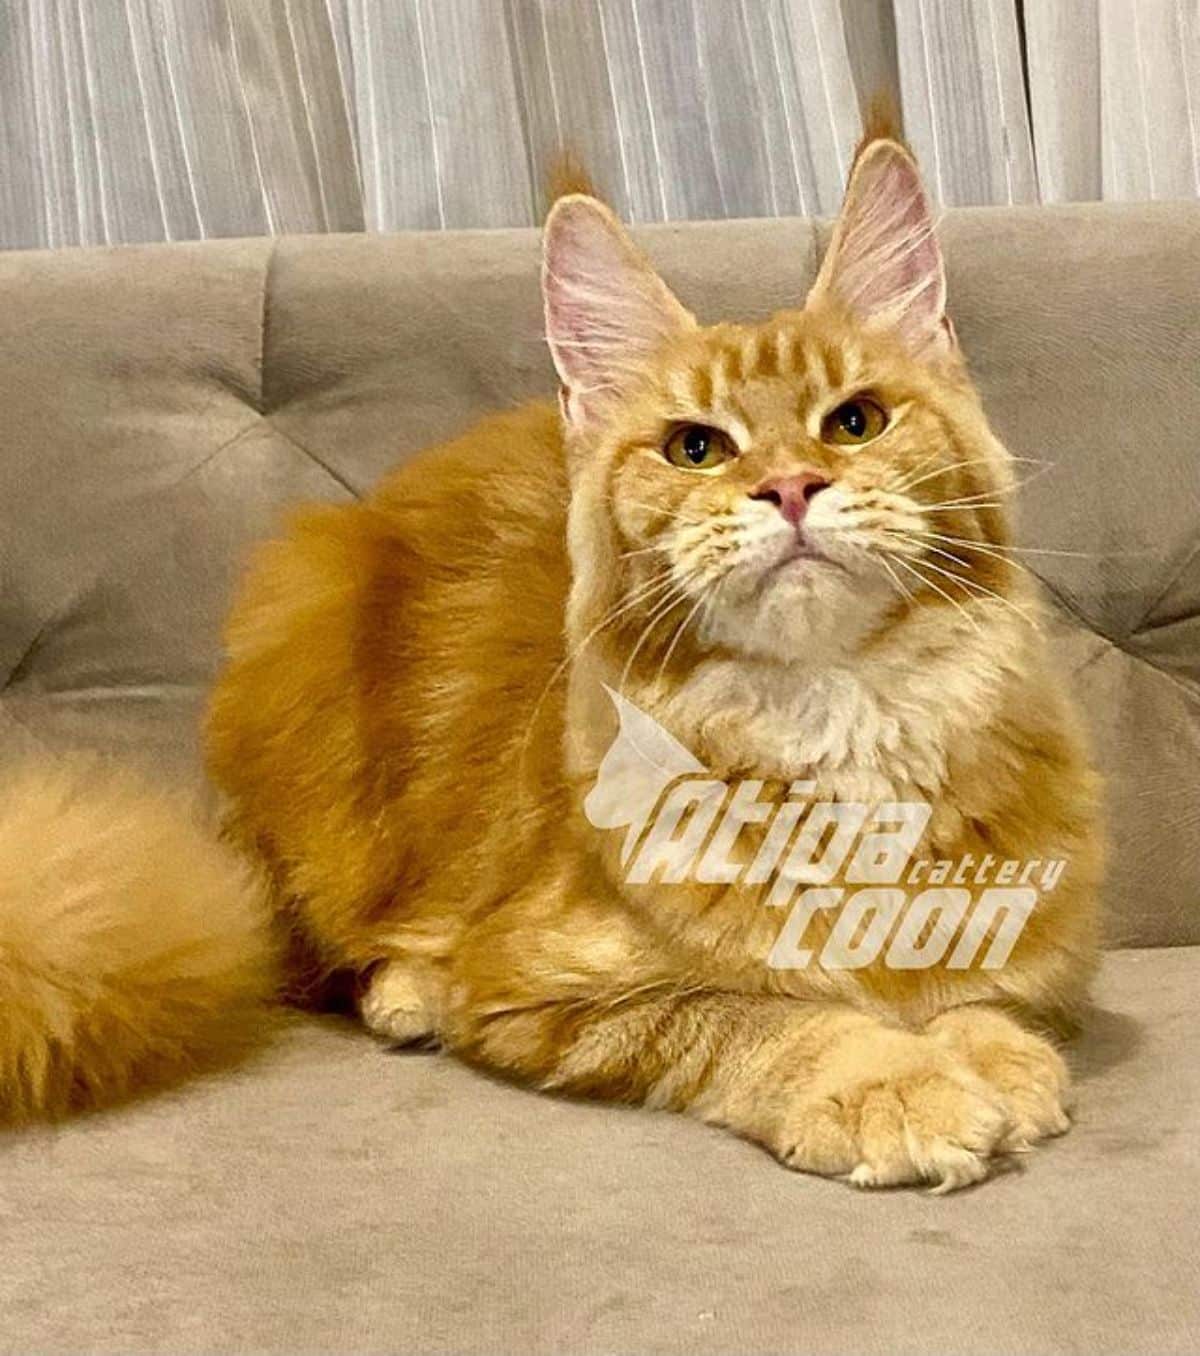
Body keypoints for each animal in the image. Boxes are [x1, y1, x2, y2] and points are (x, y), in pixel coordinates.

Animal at [2, 129, 1106, 1187]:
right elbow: (759, 1014)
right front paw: (889, 1081)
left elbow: (984, 999)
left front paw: (997, 1059)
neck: (828, 717)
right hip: (311, 701)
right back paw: (406, 989)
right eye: (696, 448)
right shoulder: (551, 987)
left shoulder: (1037, 942)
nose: (792, 487)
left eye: (856, 422)